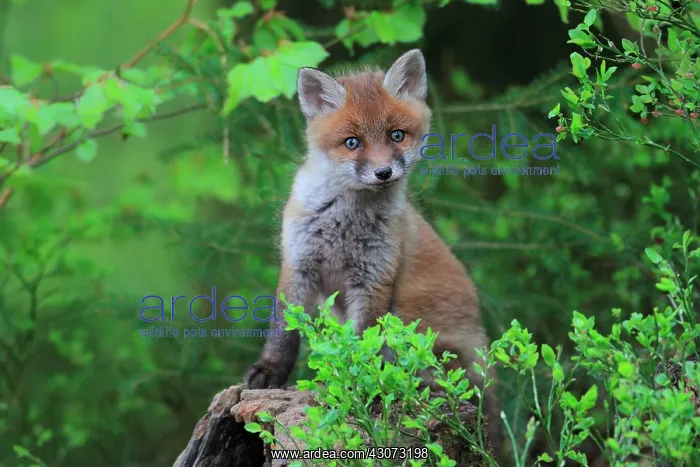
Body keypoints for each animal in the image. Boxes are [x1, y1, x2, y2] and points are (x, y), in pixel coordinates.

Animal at [244, 49, 502, 451]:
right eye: (352, 142)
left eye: (396, 135)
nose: (383, 173)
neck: (343, 225)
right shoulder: (298, 265)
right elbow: (284, 331)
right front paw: (270, 371)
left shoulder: (374, 279)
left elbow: (361, 342)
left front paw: (356, 384)